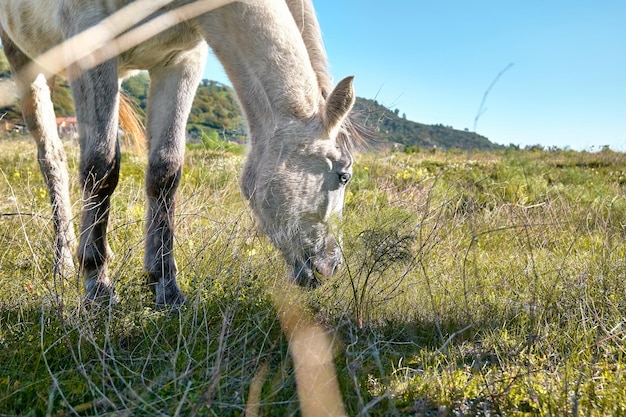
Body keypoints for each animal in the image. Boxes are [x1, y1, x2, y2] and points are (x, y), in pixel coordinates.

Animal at [1, 0, 360, 306]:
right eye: (343, 175)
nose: (331, 267)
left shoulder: (180, 61)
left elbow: (165, 170)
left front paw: (165, 285)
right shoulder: (93, 46)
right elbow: (101, 166)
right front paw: (98, 284)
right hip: (26, 61)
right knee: (52, 159)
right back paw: (64, 261)